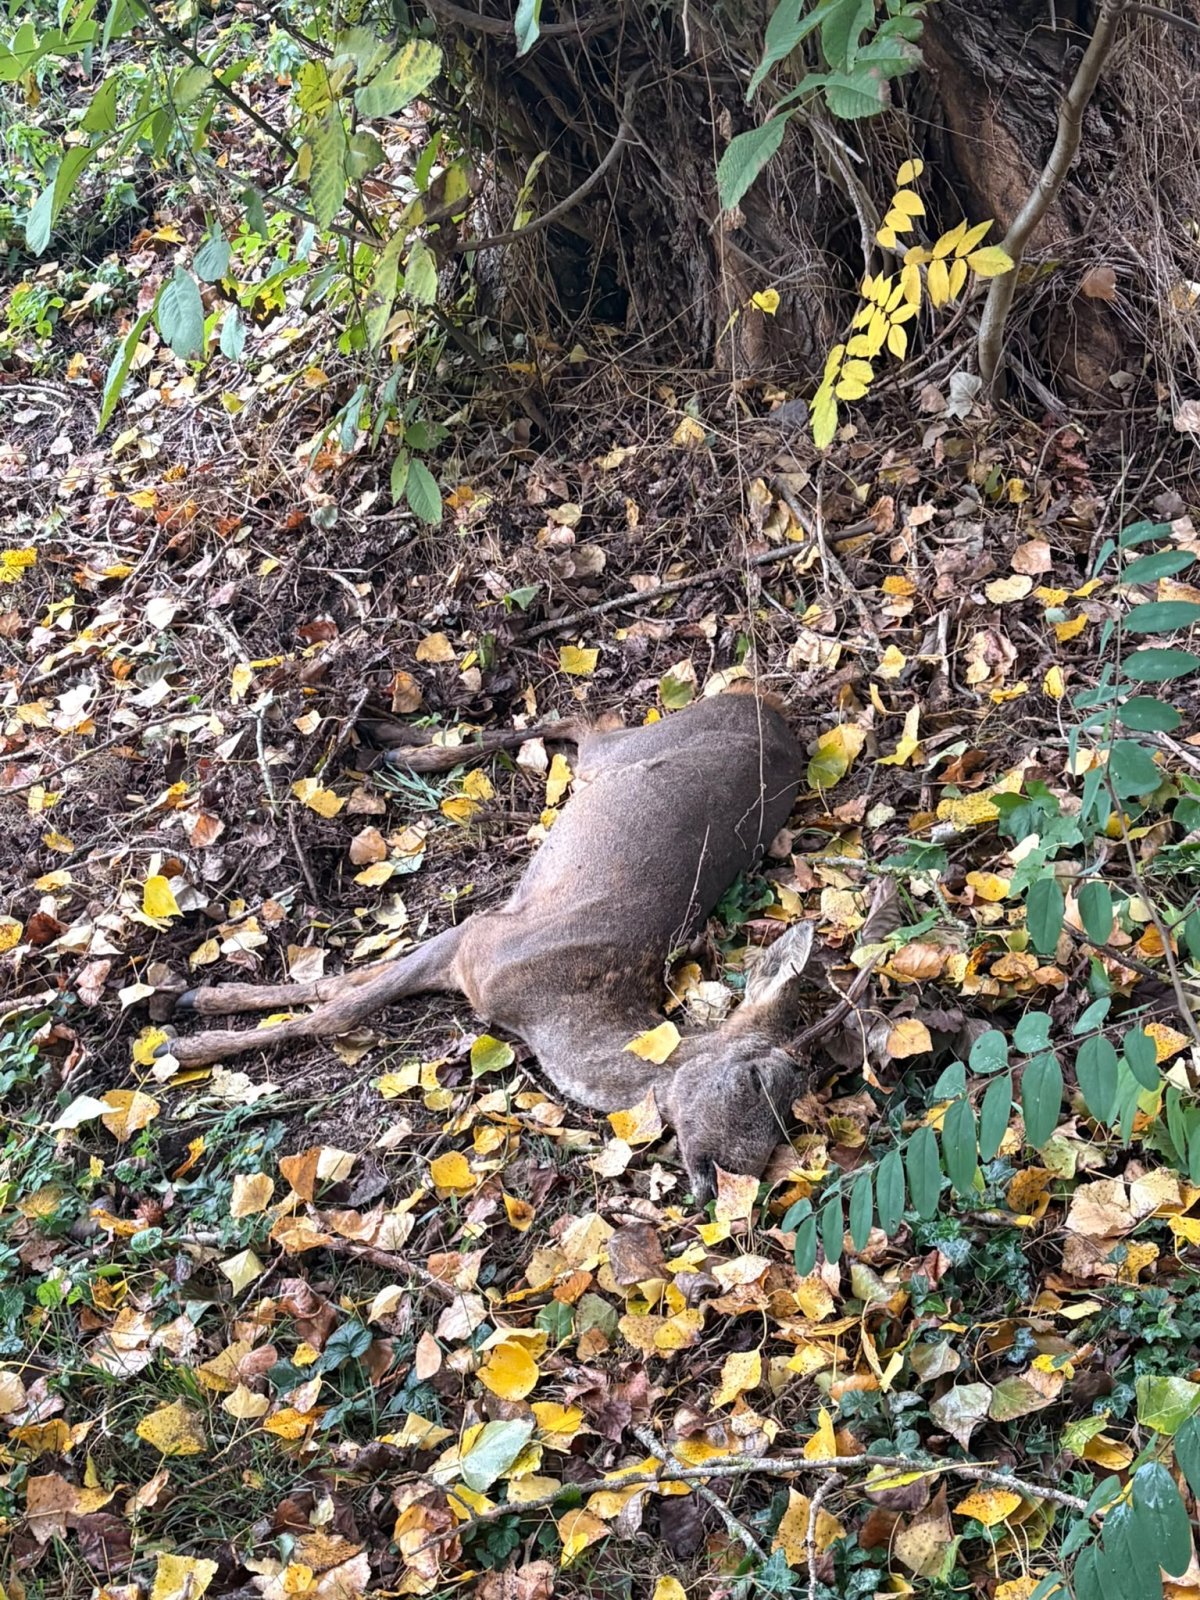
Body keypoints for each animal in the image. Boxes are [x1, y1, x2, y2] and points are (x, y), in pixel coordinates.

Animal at [158, 687, 885, 1198]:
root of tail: (771, 713)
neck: (551, 1014)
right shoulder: (480, 939)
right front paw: (188, 1039)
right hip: (627, 748)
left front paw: (198, 1003)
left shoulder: (472, 949)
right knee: (586, 717)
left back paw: (390, 740)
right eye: (758, 1081)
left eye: (792, 1112)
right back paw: (396, 744)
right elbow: (343, 1006)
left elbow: (345, 985)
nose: (741, 1183)